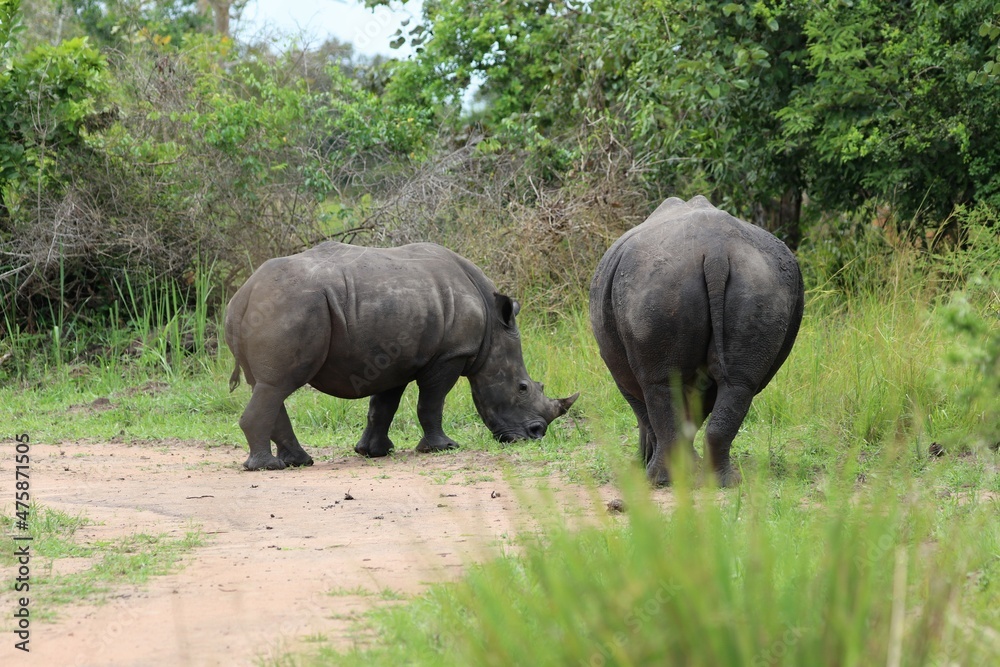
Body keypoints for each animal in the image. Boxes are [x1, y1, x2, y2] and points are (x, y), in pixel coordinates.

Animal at [225, 241, 578, 471]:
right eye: (523, 387)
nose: (536, 435)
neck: (493, 328)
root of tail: (244, 295)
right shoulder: (450, 355)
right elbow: (431, 403)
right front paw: (443, 448)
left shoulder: (390, 359)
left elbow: (383, 406)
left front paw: (373, 452)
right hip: (291, 306)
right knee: (277, 385)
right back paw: (267, 467)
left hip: (280, 306)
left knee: (268, 387)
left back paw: (299, 462)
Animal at [589, 196, 804, 486]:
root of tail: (716, 253)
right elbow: (691, 414)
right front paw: (690, 465)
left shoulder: (619, 373)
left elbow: (646, 414)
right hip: (762, 282)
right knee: (739, 384)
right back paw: (722, 482)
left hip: (657, 281)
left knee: (659, 384)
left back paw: (657, 480)